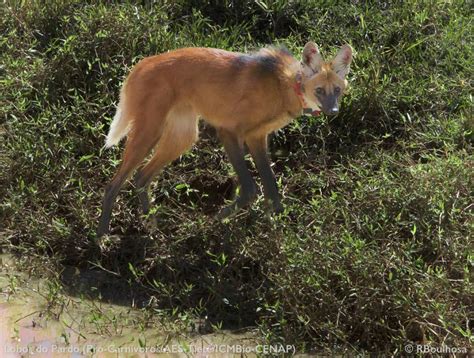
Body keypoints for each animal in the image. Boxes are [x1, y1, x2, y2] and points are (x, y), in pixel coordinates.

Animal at [98, 42, 352, 235]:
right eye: (320, 90)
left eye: (337, 91)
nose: (333, 111)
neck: (286, 87)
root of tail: (140, 64)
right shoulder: (229, 132)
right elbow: (250, 188)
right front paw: (218, 218)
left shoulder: (257, 137)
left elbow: (271, 188)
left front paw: (275, 229)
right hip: (151, 131)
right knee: (113, 183)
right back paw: (102, 236)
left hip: (183, 137)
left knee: (141, 177)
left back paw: (151, 226)